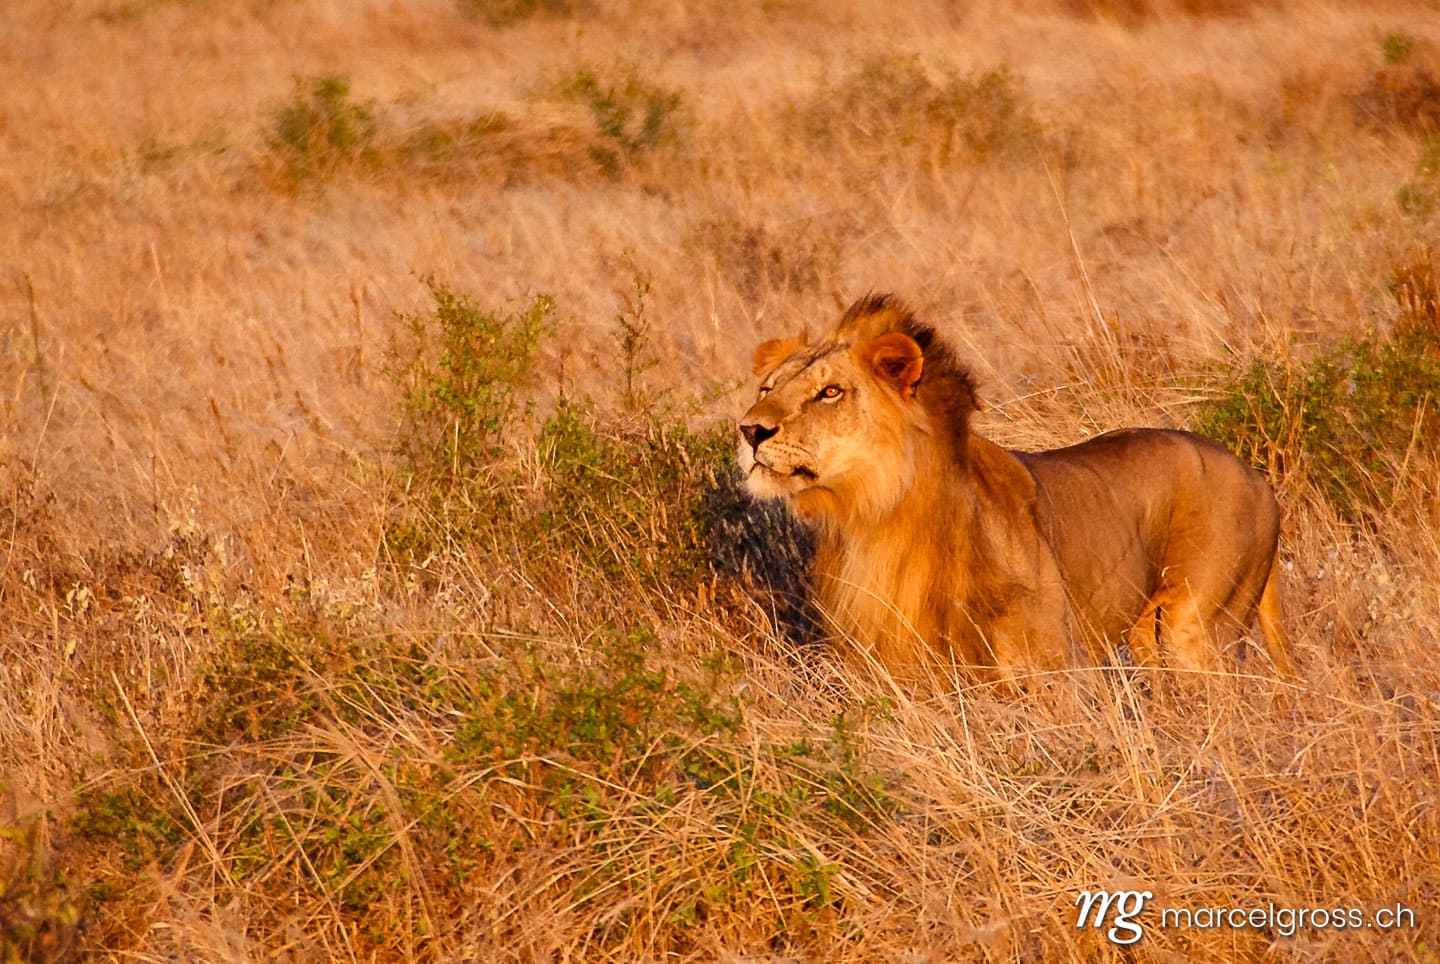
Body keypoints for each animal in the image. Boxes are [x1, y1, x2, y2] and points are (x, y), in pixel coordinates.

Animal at [737, 293, 1295, 685]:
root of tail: (1258, 477)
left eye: (829, 392)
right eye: (768, 388)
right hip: (1145, 636)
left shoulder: (1051, 672)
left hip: (1201, 630)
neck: (877, 520)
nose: (749, 430)